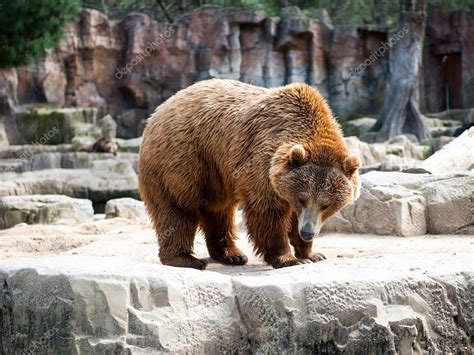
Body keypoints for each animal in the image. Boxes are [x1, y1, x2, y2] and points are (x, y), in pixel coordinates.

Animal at [139, 79, 362, 272]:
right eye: (302, 198)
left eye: (326, 204)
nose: (307, 232)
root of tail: (158, 112)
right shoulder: (262, 162)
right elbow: (267, 212)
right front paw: (288, 258)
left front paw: (311, 254)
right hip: (184, 159)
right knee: (178, 209)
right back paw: (186, 259)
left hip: (216, 173)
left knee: (218, 211)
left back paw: (231, 255)